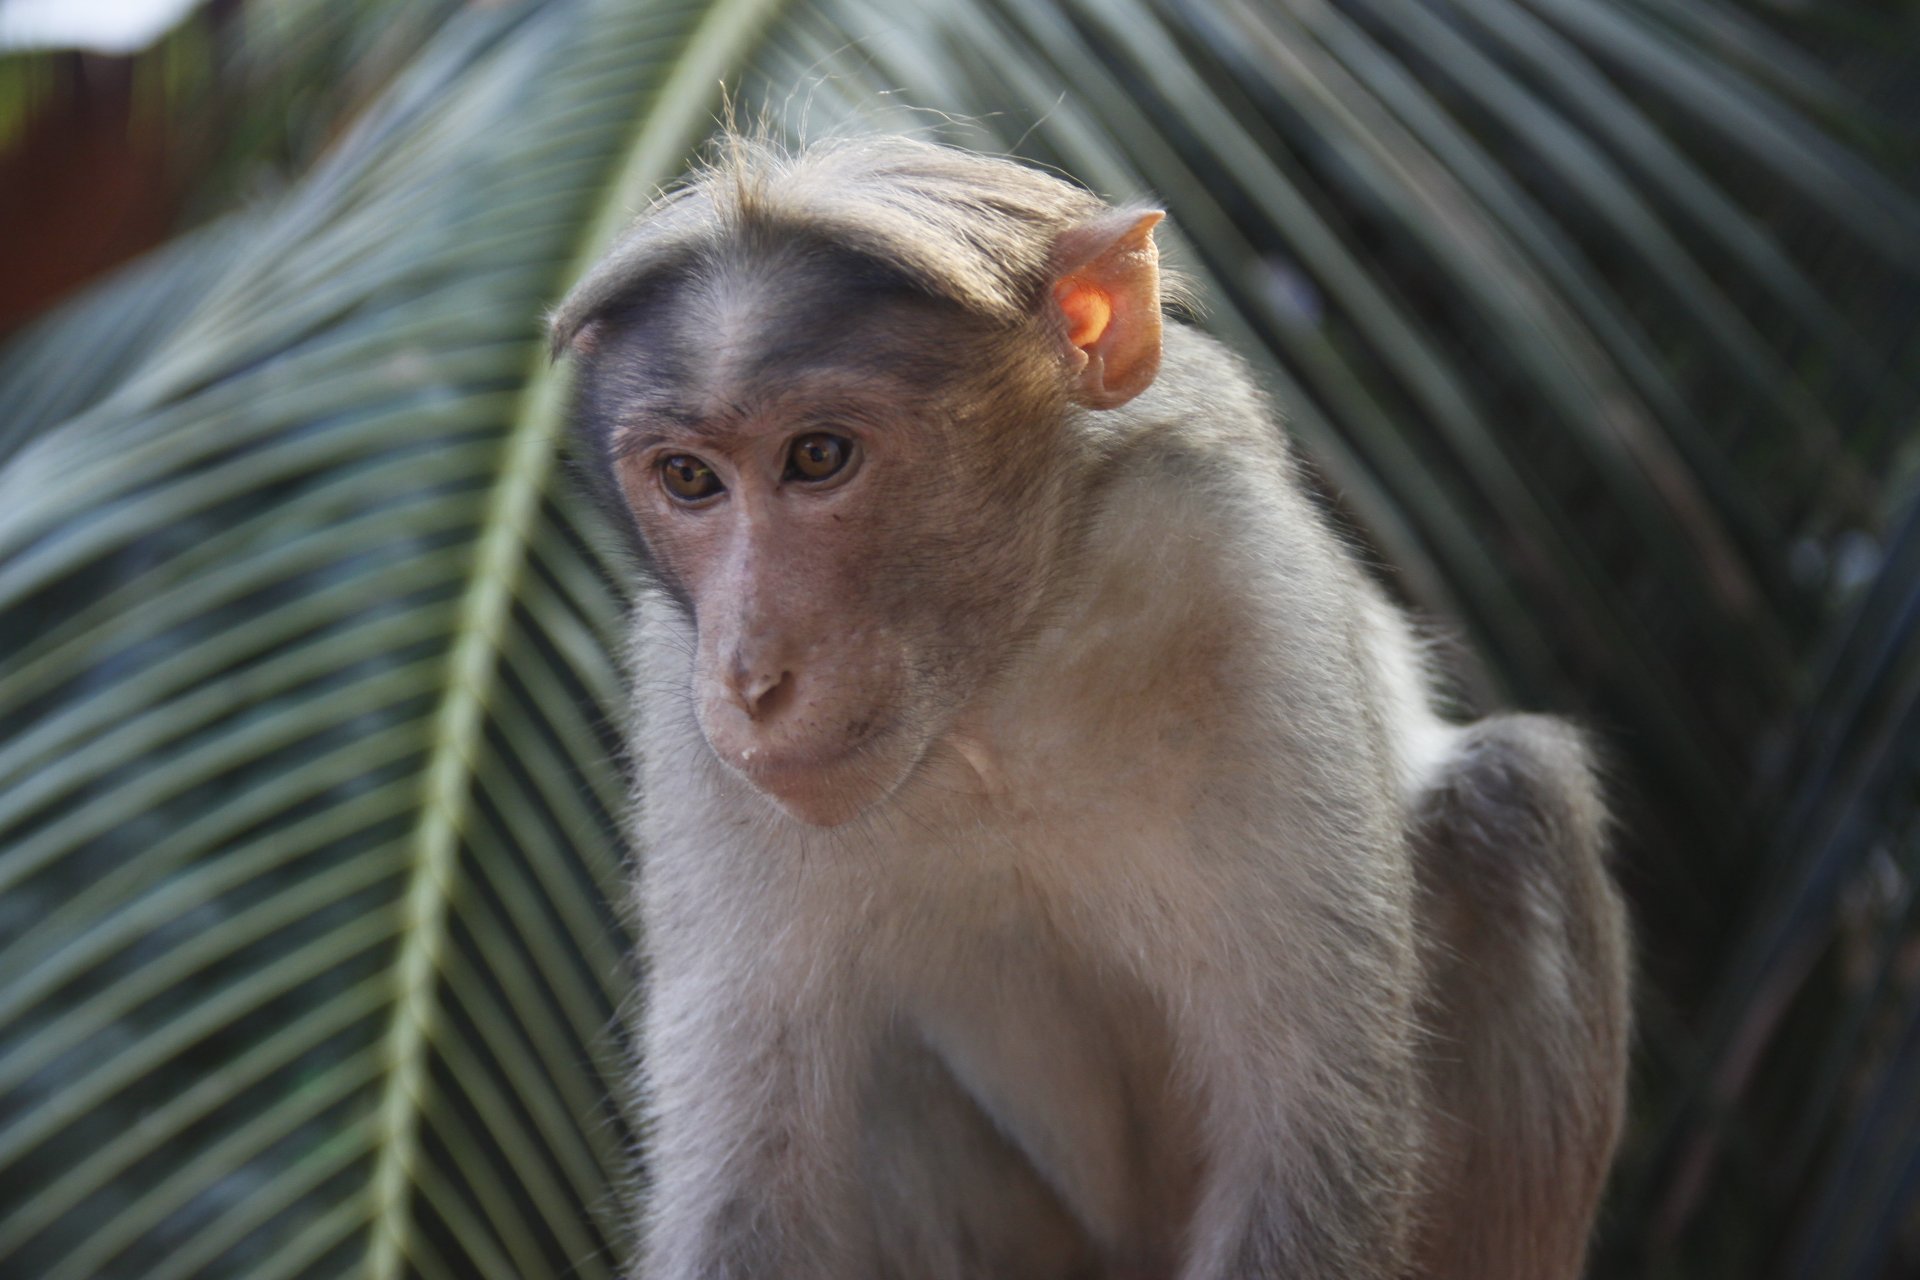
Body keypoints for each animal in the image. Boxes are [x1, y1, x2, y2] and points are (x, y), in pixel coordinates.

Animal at [551, 132, 1631, 1280]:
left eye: (817, 457)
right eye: (688, 479)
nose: (749, 674)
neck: (992, 696)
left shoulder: (1235, 573)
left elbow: (1312, 1147)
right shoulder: (678, 702)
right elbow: (746, 1198)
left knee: (1513, 796)